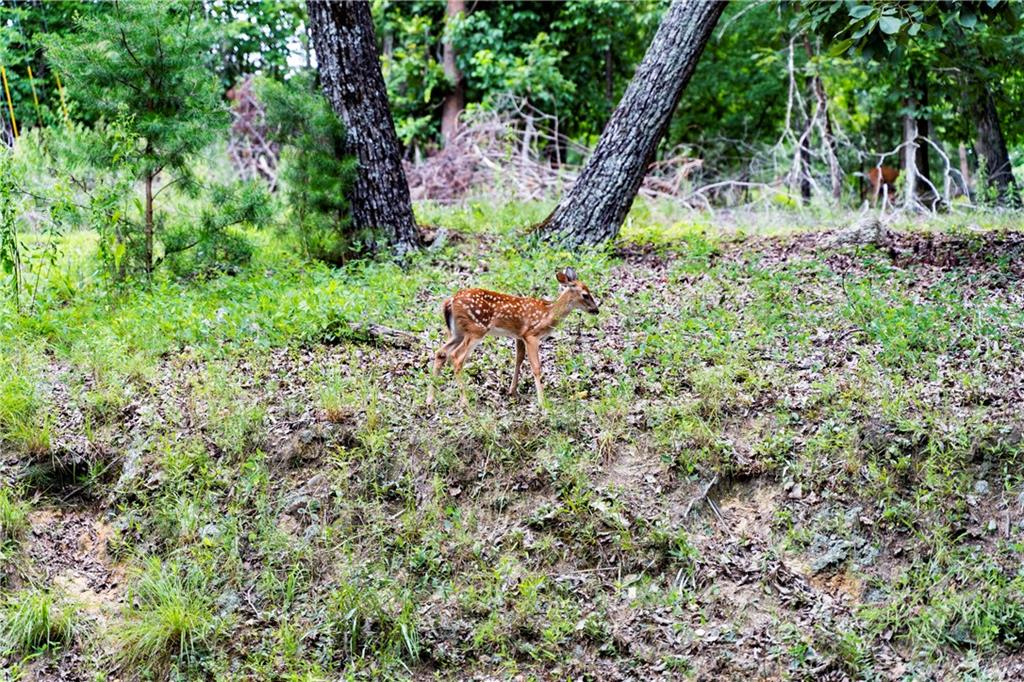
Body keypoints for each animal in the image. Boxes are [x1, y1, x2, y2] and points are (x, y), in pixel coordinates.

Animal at [425, 266, 598, 405]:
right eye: (585, 295)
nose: (596, 310)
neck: (547, 314)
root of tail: (450, 301)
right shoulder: (531, 335)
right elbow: (536, 367)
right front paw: (543, 402)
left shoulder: (519, 336)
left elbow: (518, 360)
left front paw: (512, 391)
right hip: (476, 330)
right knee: (456, 357)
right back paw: (465, 403)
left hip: (458, 332)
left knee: (441, 353)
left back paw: (430, 399)